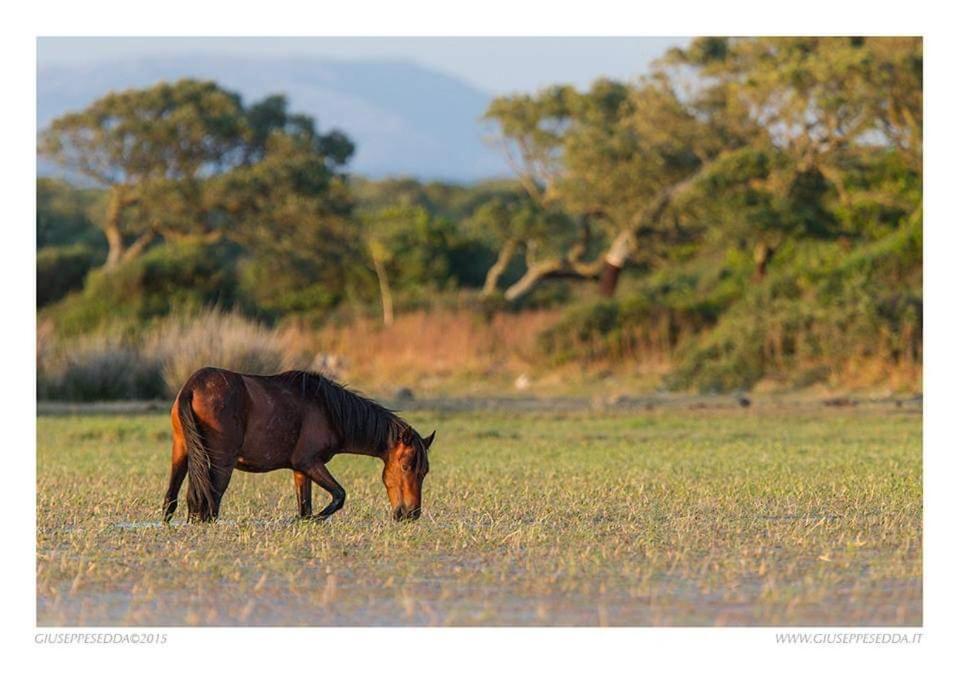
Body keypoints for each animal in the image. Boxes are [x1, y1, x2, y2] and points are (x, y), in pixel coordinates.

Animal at [162, 368, 436, 524]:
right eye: (406, 466)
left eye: (424, 472)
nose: (411, 514)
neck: (327, 409)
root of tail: (192, 386)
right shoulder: (309, 462)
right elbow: (339, 496)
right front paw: (314, 520)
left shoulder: (300, 470)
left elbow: (305, 507)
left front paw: (305, 521)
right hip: (221, 463)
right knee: (209, 505)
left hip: (182, 454)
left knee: (172, 500)